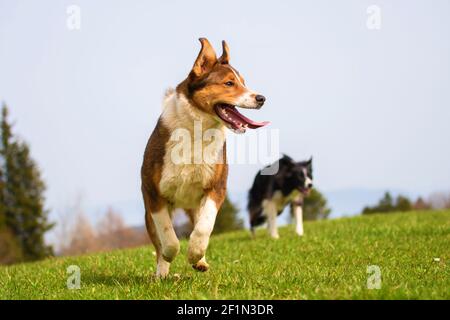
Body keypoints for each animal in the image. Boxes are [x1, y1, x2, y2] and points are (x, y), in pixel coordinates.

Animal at [141, 38, 268, 278]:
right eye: (229, 83)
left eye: (243, 82)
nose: (262, 98)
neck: (197, 130)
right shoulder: (154, 194)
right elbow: (167, 237)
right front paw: (170, 256)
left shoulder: (216, 187)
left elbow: (204, 227)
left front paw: (195, 255)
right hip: (149, 212)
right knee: (157, 241)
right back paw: (161, 272)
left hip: (194, 204)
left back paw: (200, 261)